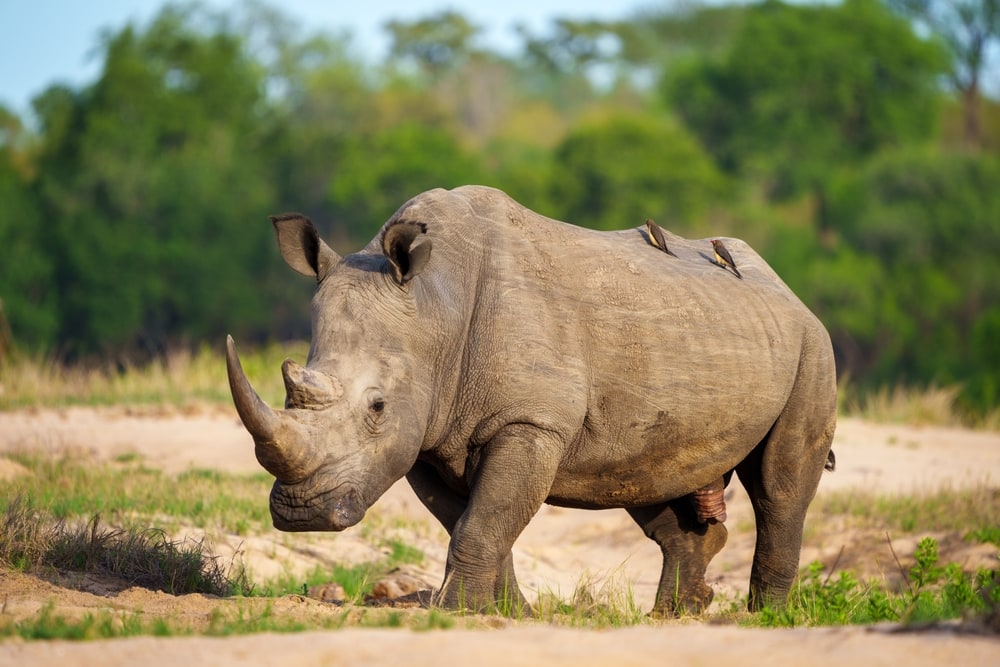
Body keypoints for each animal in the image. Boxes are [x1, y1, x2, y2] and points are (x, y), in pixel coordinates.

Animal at [226, 185, 837, 615]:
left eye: (376, 407)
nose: (301, 513)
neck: (434, 309)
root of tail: (785, 288)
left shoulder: (528, 422)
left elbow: (484, 520)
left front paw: (456, 612)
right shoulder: (428, 434)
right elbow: (472, 520)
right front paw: (504, 612)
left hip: (812, 346)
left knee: (780, 488)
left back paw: (764, 618)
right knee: (650, 471)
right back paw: (675, 616)